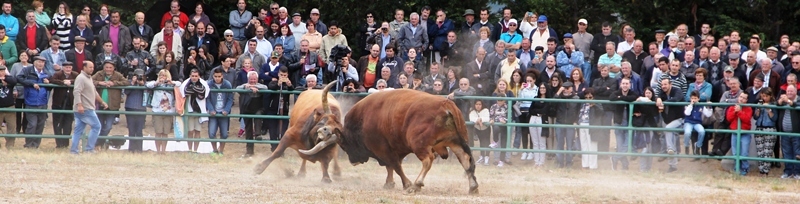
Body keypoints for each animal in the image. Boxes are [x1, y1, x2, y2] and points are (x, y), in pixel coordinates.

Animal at [298, 89, 476, 194]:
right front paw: (389, 183)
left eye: (344, 145)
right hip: (455, 142)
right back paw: (473, 186)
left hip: (420, 145)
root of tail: (446, 104)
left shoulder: (383, 149)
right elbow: (391, 167)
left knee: (428, 160)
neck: (363, 120)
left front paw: (406, 184)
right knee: (466, 160)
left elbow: (395, 165)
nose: (353, 161)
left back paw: (416, 184)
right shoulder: (391, 149)